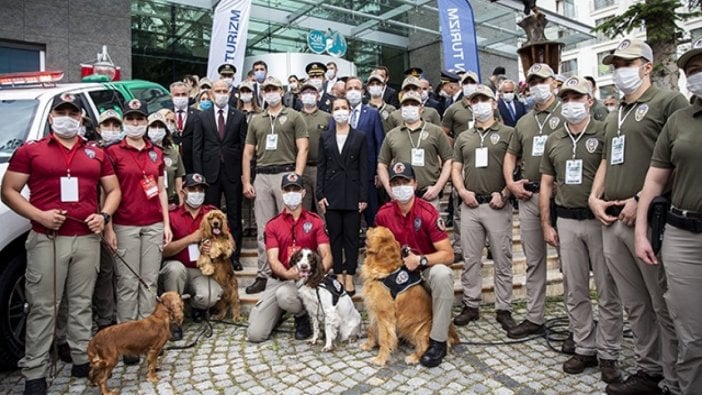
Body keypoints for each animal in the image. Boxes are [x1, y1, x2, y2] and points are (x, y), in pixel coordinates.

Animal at [364, 227, 462, 366]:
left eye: (375, 228)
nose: (368, 227)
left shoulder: (384, 314)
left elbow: (384, 337)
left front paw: (380, 358)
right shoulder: (374, 309)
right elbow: (371, 329)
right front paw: (368, 345)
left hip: (422, 330)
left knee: (425, 347)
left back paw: (415, 357)